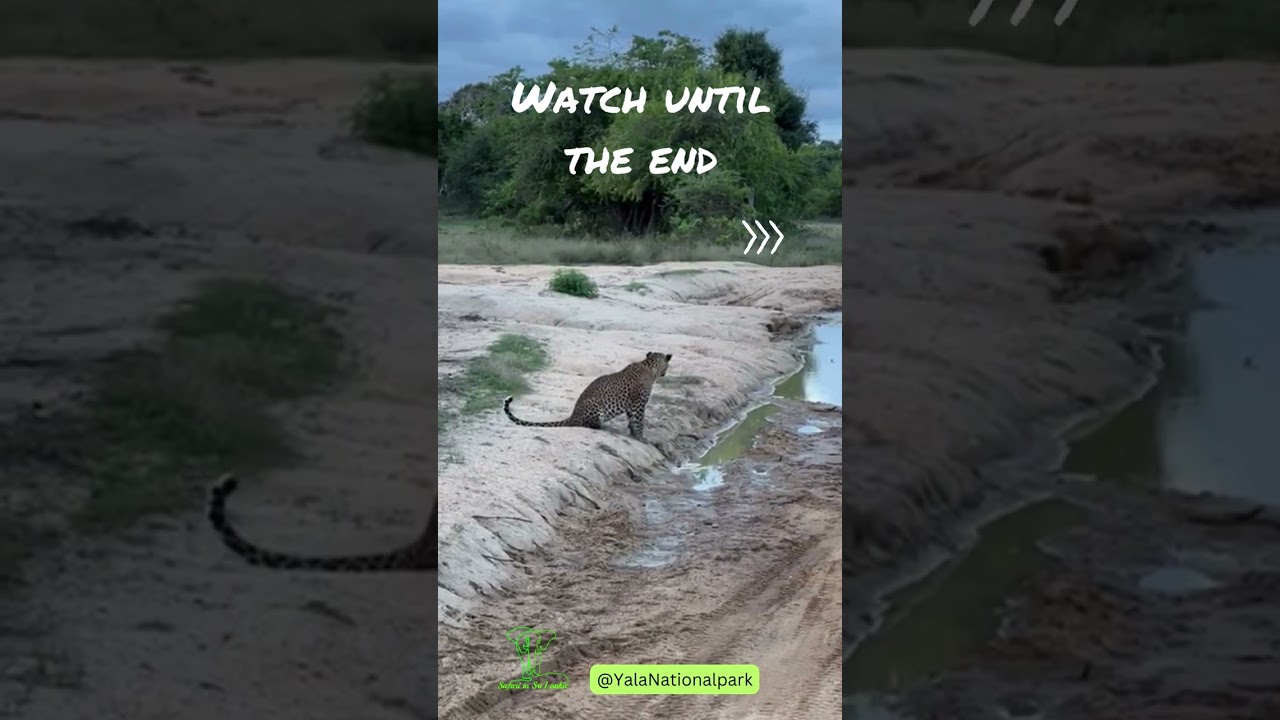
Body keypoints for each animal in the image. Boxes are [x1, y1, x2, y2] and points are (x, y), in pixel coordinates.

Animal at [503, 351, 672, 441]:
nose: (665, 372)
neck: (650, 366)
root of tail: (573, 416)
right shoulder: (639, 402)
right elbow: (639, 421)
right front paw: (641, 437)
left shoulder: (631, 404)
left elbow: (631, 419)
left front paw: (632, 434)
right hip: (596, 405)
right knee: (589, 424)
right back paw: (604, 427)